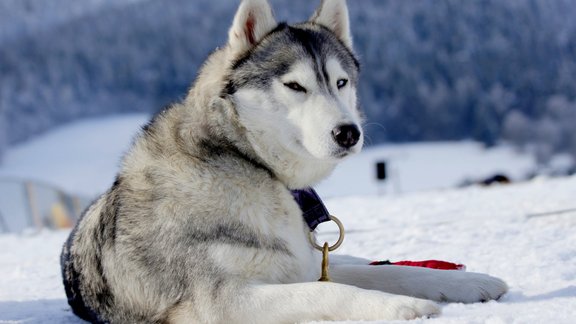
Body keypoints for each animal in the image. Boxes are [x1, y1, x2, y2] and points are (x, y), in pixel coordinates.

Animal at [60, 0, 506, 322]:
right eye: (295, 86)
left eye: (341, 82)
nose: (349, 133)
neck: (249, 163)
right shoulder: (223, 301)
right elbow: (328, 290)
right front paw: (398, 307)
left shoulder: (304, 265)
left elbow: (388, 272)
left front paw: (467, 284)